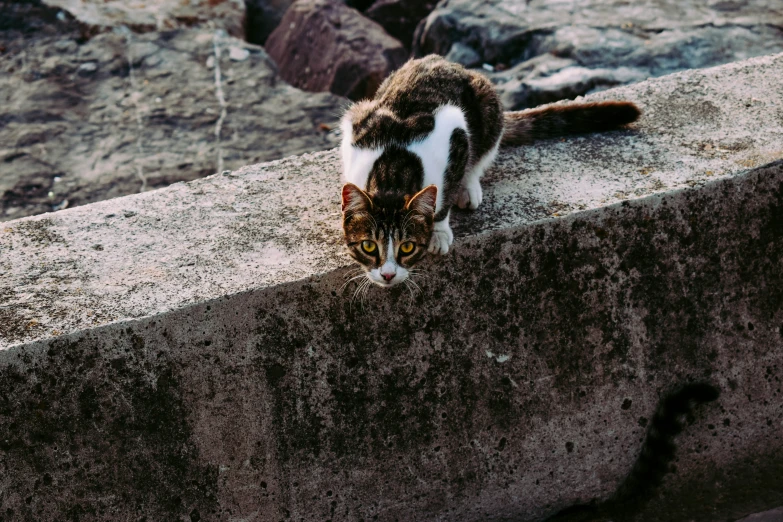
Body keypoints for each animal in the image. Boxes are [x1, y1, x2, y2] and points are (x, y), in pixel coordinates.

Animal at [340, 54, 640, 286]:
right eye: (368, 246)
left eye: (407, 247)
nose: (387, 276)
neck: (392, 170)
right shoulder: (357, 124)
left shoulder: (455, 132)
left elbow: (445, 192)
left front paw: (439, 230)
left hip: (488, 104)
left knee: (482, 151)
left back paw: (469, 187)